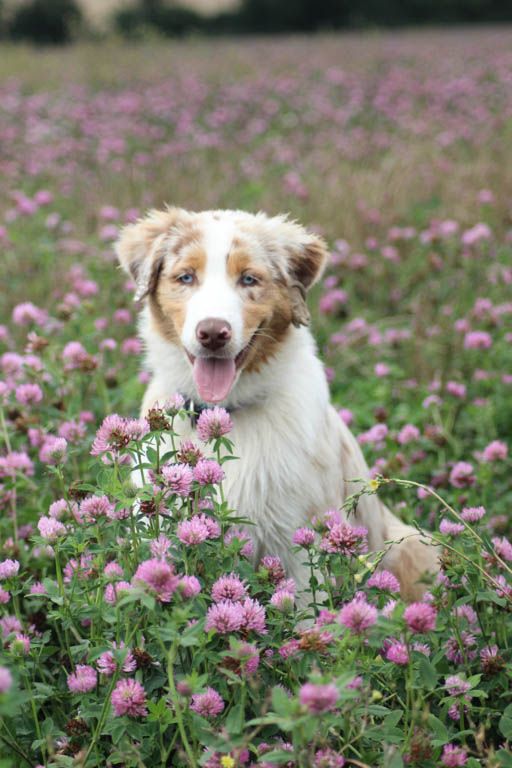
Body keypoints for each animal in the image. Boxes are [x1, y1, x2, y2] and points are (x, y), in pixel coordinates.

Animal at [114, 207, 438, 604]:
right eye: (186, 277)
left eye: (249, 278)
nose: (213, 333)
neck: (224, 412)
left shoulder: (298, 544)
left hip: (411, 546)